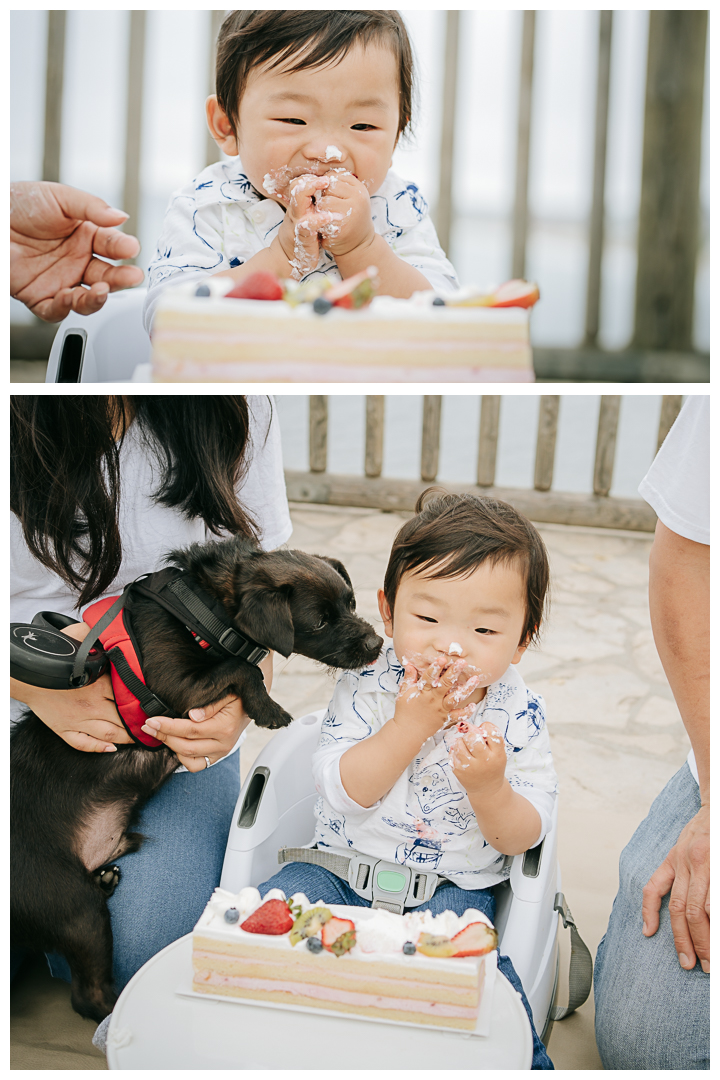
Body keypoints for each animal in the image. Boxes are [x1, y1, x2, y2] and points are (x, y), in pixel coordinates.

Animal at [11, 535, 382, 1023]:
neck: (205, 611)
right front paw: (269, 708)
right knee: (85, 995)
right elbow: (244, 669)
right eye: (320, 621)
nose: (378, 642)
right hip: (75, 908)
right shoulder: (174, 685)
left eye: (352, 603)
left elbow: (242, 666)